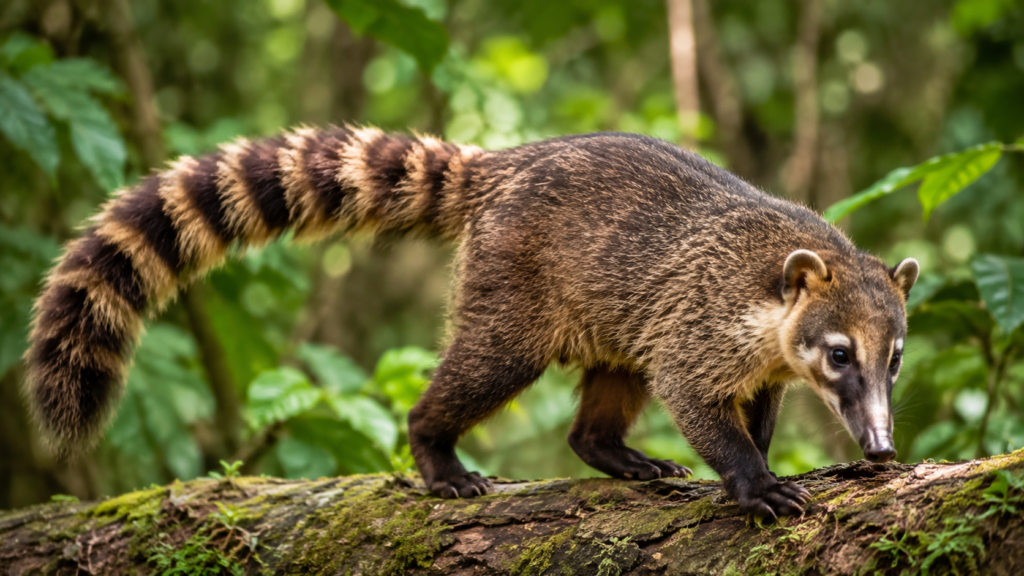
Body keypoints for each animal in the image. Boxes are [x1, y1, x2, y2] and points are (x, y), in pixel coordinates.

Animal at [25, 126, 917, 518]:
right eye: (841, 354)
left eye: (896, 359)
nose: (881, 448)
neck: (784, 293)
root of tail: (501, 165)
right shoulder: (705, 316)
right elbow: (693, 396)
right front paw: (751, 476)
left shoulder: (756, 352)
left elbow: (754, 407)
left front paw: (761, 453)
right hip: (511, 288)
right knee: (487, 367)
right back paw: (435, 450)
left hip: (607, 307)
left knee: (607, 390)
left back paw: (611, 450)